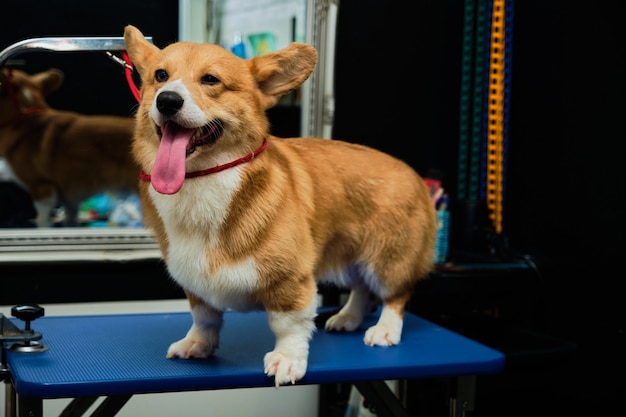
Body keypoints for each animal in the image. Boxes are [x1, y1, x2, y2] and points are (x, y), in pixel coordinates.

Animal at [122, 24, 434, 386]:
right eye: (160, 76)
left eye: (211, 80)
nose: (168, 100)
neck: (204, 180)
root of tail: (413, 174)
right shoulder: (194, 281)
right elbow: (205, 317)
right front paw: (198, 344)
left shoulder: (291, 280)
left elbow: (288, 325)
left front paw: (288, 360)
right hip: (351, 255)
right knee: (360, 289)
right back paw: (348, 318)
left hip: (386, 260)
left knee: (394, 296)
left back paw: (385, 330)